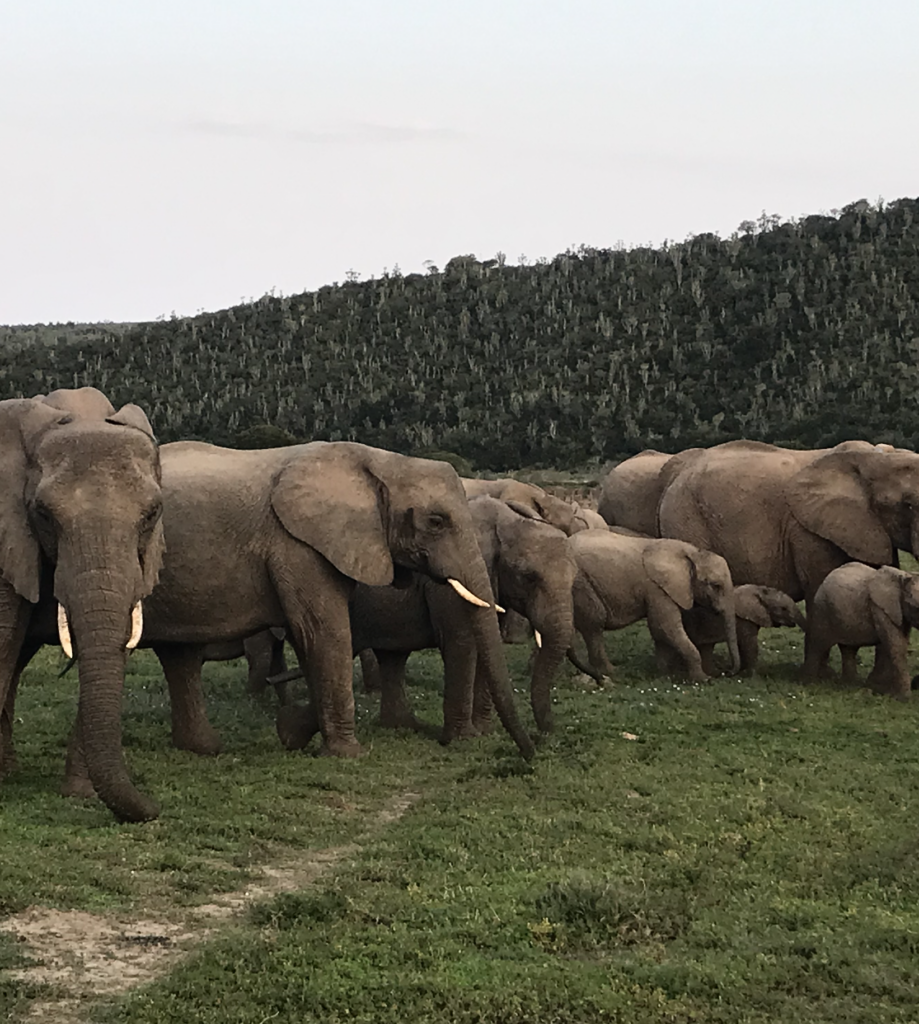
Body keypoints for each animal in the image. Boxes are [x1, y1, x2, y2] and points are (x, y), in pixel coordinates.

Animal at [64, 440, 532, 798]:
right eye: (436, 521)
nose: (529, 757)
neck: (380, 461)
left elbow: (313, 642)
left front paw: (291, 731)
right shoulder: (298, 546)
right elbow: (323, 632)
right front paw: (346, 754)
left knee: (178, 657)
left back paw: (204, 749)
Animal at [799, 565, 917, 700]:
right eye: (915, 607)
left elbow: (899, 642)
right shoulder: (879, 608)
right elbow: (896, 645)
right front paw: (902, 698)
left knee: (849, 649)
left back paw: (850, 684)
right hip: (822, 609)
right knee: (818, 645)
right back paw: (810, 683)